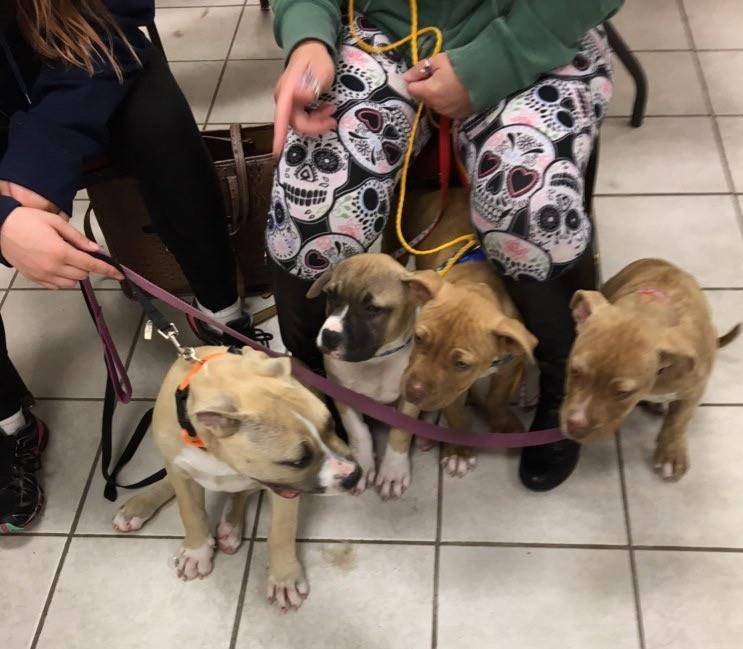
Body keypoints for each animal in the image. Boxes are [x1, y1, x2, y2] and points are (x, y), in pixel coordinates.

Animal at [111, 346, 364, 612]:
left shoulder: (283, 488)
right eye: (297, 461)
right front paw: (196, 552)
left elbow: (281, 531)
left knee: (241, 491)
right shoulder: (180, 470)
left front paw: (284, 579)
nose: (354, 475)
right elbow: (190, 512)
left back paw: (230, 527)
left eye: (331, 423)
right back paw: (137, 507)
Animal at [306, 253, 416, 496]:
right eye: (330, 295)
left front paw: (393, 471)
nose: (329, 336)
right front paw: (363, 465)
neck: (375, 361)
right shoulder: (341, 392)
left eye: (372, 308)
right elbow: (357, 430)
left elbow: (400, 431)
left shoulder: (413, 395)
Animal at [386, 187, 536, 476]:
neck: (476, 285)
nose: (412, 392)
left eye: (461, 364)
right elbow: (456, 417)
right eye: (418, 338)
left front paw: (502, 421)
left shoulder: (509, 363)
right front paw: (459, 451)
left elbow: (498, 397)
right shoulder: (451, 390)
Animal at [560, 260, 740, 480]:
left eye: (623, 393)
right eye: (574, 371)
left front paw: (670, 454)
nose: (576, 426)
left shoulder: (695, 389)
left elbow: (678, 419)